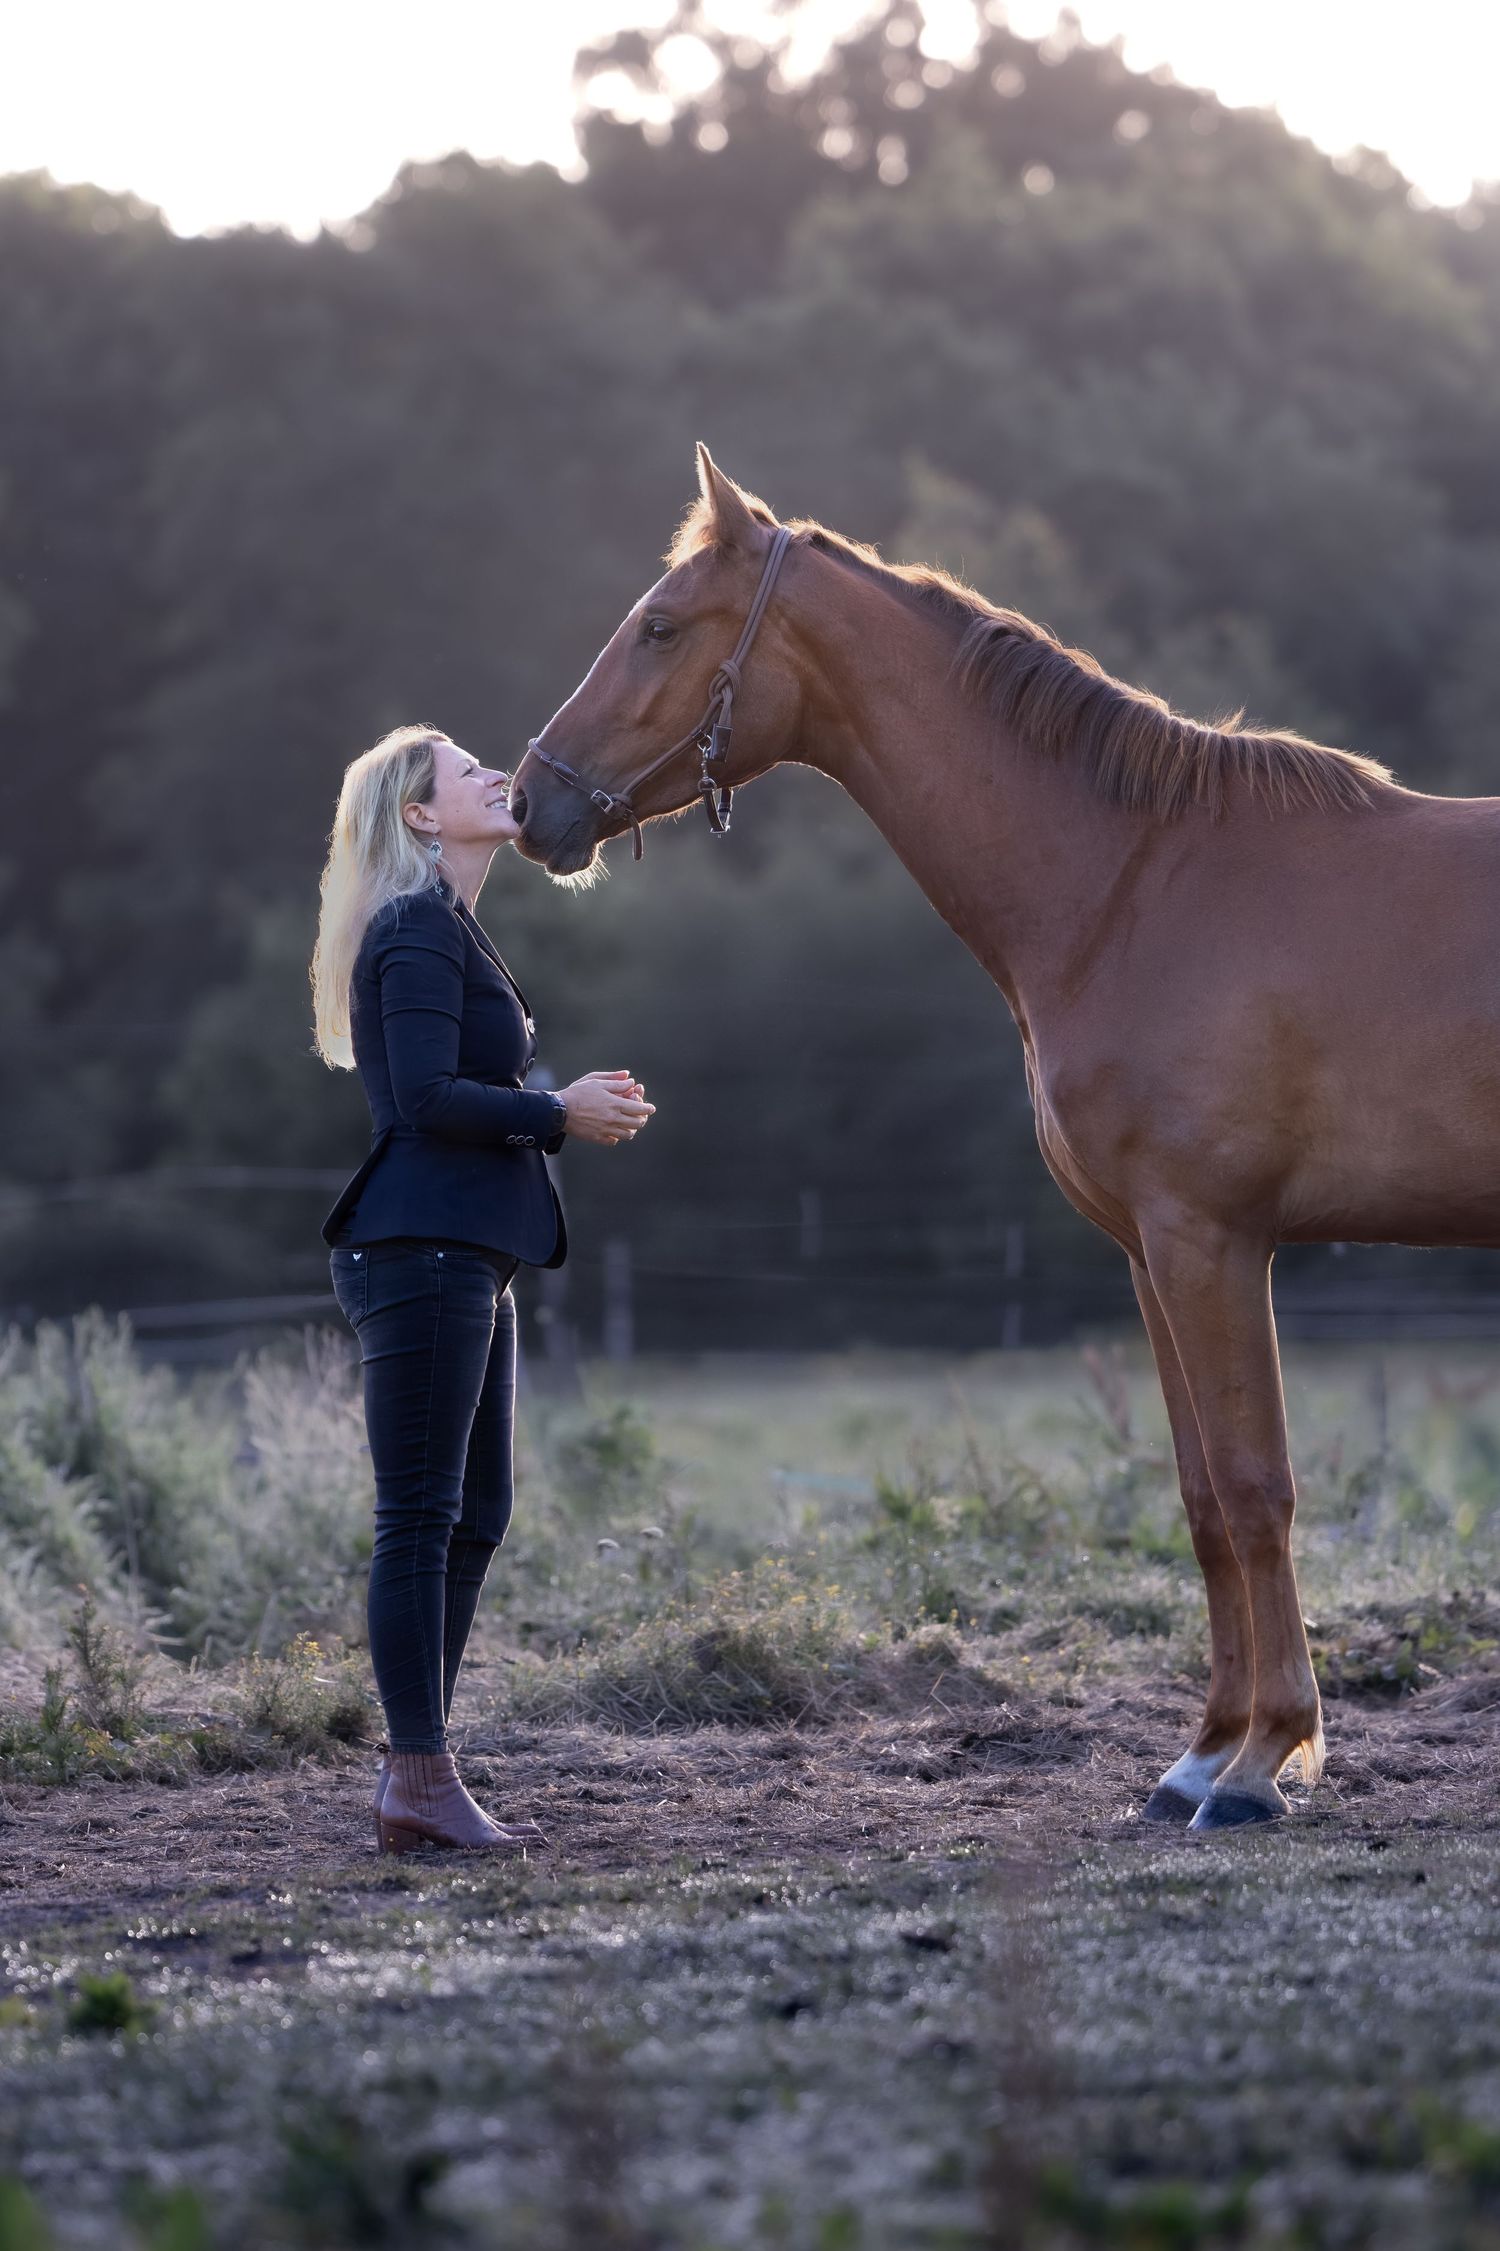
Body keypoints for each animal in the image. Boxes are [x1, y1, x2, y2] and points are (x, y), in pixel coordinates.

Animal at [512, 444, 1500, 1832]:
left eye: (658, 625)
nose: (530, 800)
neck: (1132, 884)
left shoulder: (1213, 1240)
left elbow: (1258, 1490)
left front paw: (1263, 1765)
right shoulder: (1150, 1253)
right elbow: (1202, 1497)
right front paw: (1200, 1755)